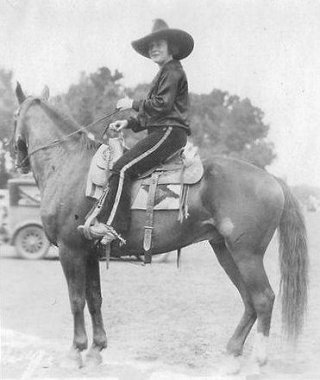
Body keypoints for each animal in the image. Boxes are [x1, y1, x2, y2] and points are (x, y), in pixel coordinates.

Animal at [11, 84, 308, 372]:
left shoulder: (70, 250)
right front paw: (96, 350)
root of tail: (272, 179)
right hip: (225, 251)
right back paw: (231, 357)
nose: (17, 159)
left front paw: (75, 352)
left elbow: (76, 300)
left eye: (14, 116)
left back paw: (257, 361)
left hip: (247, 254)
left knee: (263, 298)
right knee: (249, 301)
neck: (66, 165)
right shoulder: (89, 253)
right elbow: (94, 299)